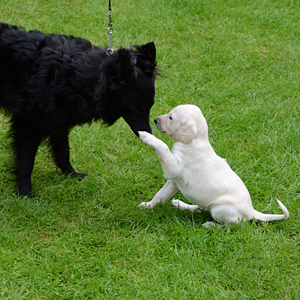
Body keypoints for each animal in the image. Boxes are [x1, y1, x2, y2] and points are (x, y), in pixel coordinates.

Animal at [0, 22, 159, 197]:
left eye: (150, 107)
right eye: (135, 110)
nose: (149, 135)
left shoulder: (59, 121)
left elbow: (63, 152)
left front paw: (71, 174)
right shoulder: (29, 124)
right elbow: (26, 161)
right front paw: (24, 192)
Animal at [138, 104, 288, 226]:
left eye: (170, 118)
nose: (155, 120)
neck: (195, 141)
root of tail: (251, 211)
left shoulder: (173, 168)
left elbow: (162, 147)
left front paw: (147, 137)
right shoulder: (174, 182)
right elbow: (160, 195)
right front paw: (148, 206)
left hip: (220, 209)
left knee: (233, 225)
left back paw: (210, 225)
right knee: (201, 208)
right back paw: (181, 204)